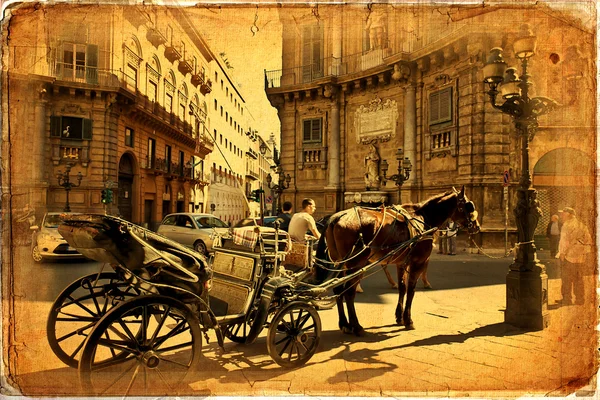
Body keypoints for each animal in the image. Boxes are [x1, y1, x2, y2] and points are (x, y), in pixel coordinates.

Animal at [316, 187, 480, 334]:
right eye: (469, 206)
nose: (477, 227)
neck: (423, 219)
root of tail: (335, 217)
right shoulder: (418, 262)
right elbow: (411, 290)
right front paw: (408, 320)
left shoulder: (401, 263)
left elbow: (402, 288)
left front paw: (399, 317)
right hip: (356, 264)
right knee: (349, 293)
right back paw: (356, 326)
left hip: (341, 264)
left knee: (338, 289)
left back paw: (344, 324)